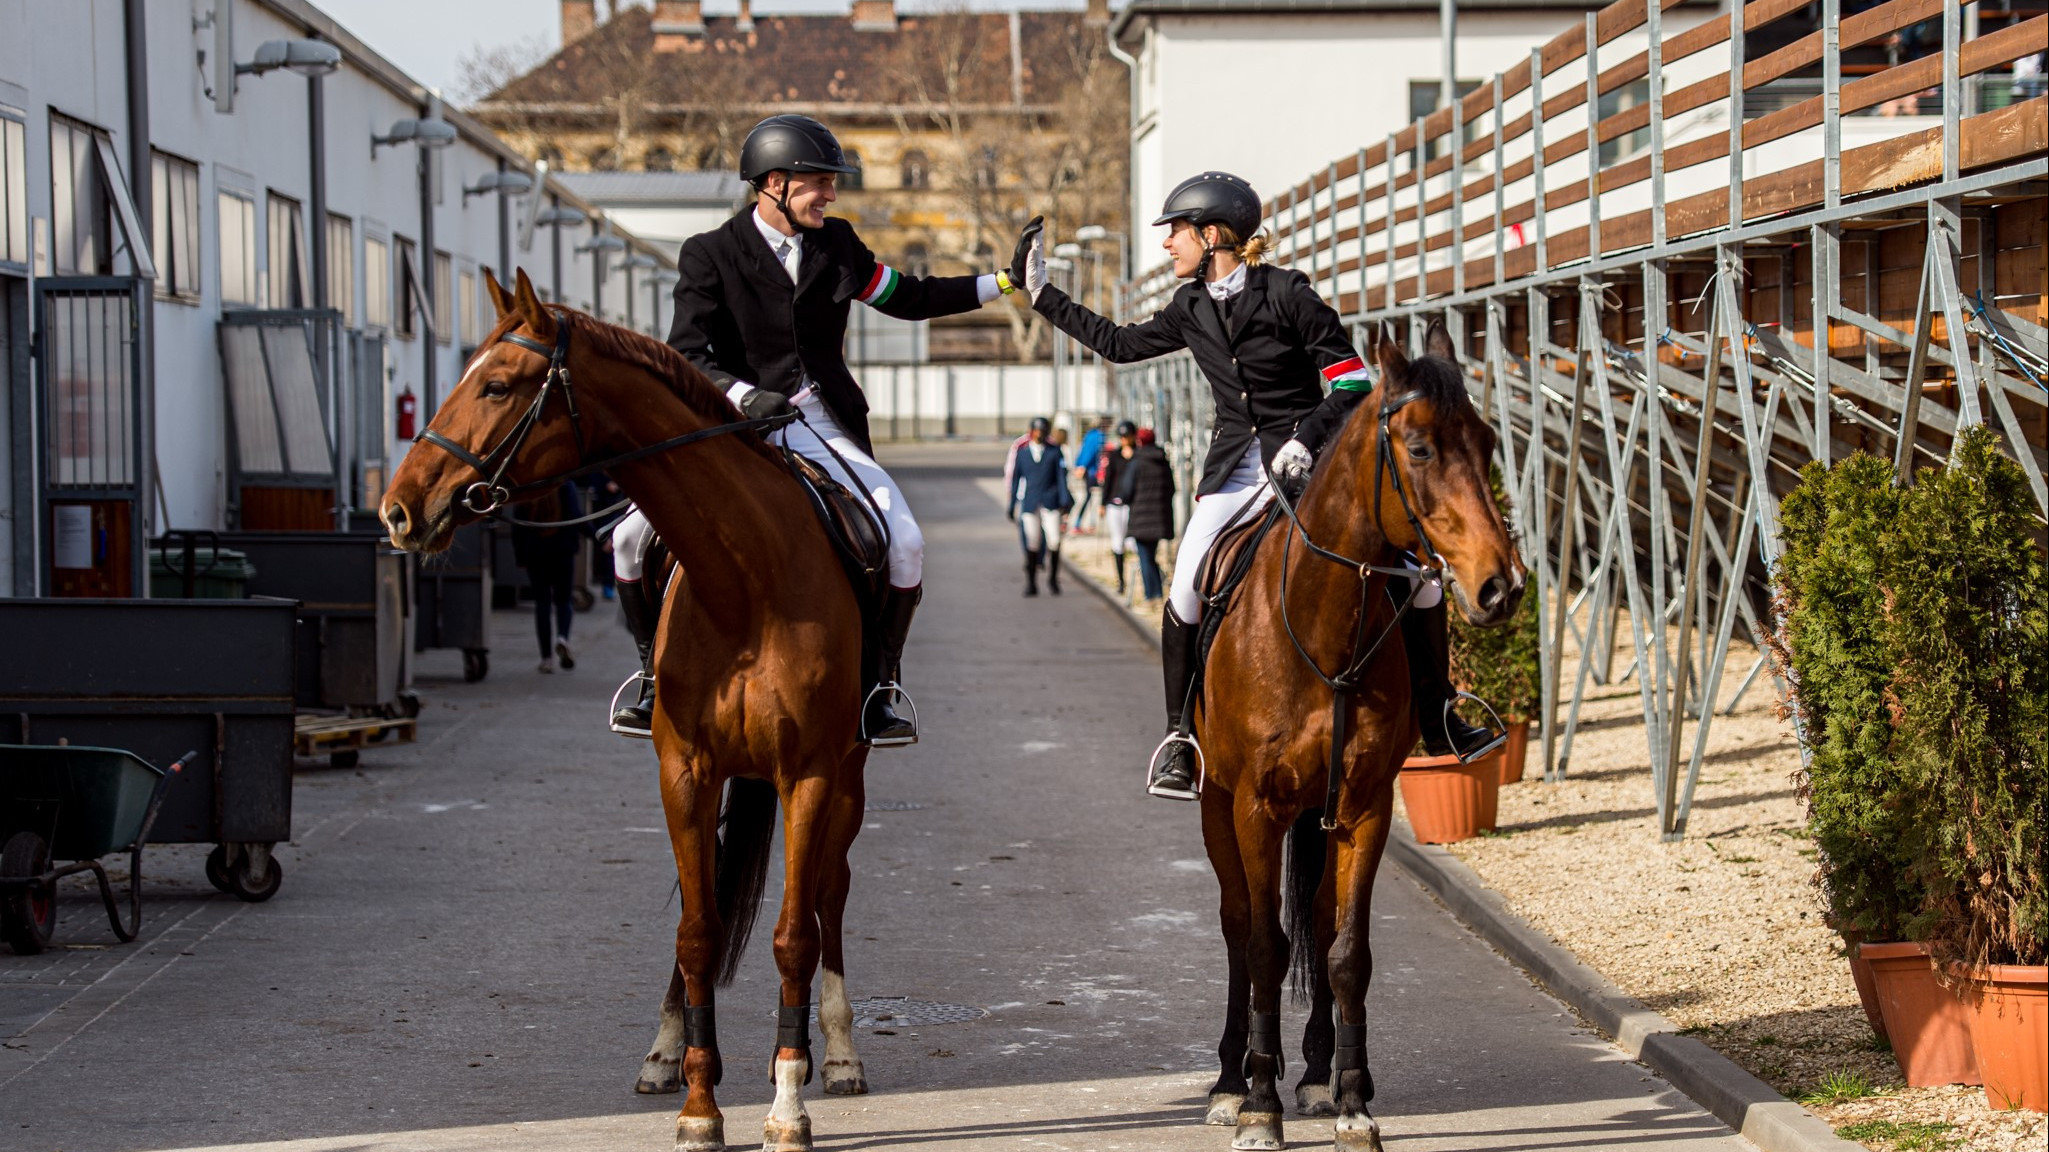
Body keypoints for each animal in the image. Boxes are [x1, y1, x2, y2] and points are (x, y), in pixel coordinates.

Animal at [385, 270, 872, 1147]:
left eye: (497, 384)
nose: (398, 509)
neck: (742, 573)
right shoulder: (683, 772)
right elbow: (697, 928)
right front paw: (700, 1104)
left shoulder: (810, 775)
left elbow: (794, 934)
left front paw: (788, 1104)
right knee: (708, 901)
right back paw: (666, 1047)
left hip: (847, 779)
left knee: (828, 894)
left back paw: (836, 1052)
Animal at [1196, 315, 1516, 1147]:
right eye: (1420, 448)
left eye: (1487, 442)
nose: (1500, 588)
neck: (1323, 624)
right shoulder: (1253, 807)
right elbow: (1263, 946)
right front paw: (1258, 1106)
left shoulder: (1365, 805)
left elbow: (1345, 952)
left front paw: (1348, 1102)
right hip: (1214, 802)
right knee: (1237, 925)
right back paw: (1230, 1079)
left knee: (1311, 918)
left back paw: (1316, 1074)